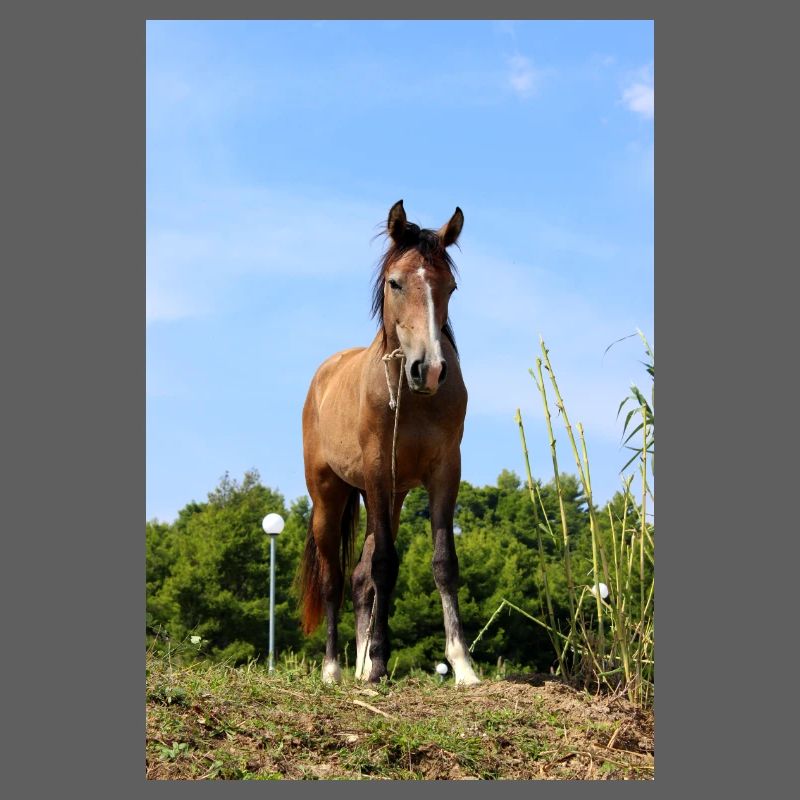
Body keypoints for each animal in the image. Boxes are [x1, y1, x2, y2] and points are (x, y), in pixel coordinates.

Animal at [297, 199, 480, 686]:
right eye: (395, 282)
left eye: (450, 286)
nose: (429, 369)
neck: (411, 399)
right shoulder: (378, 472)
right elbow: (384, 565)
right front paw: (379, 663)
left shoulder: (444, 472)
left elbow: (442, 563)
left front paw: (462, 665)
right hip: (330, 496)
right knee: (335, 578)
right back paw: (334, 669)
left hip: (390, 498)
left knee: (359, 579)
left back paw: (359, 665)